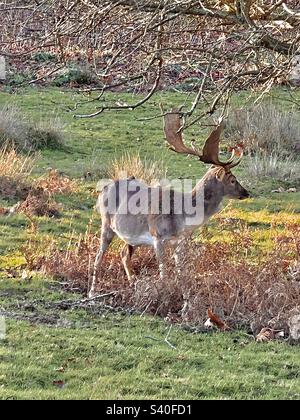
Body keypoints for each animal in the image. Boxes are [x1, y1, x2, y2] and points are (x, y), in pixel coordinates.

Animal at [88, 110, 248, 296]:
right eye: (232, 180)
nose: (246, 192)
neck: (183, 218)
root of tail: (103, 189)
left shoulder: (181, 241)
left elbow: (181, 271)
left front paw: (184, 296)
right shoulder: (157, 235)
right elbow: (163, 271)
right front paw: (163, 293)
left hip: (131, 237)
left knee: (123, 254)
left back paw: (132, 285)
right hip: (106, 223)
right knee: (98, 255)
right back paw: (92, 292)